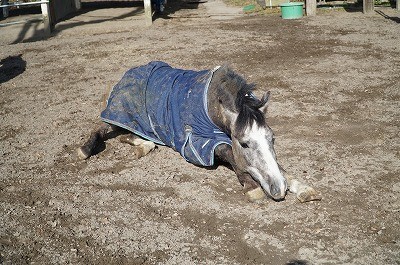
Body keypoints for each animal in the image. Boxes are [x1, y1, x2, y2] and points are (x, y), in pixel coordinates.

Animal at [79, 61, 322, 202]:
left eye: (272, 139)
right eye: (244, 143)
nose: (278, 188)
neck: (209, 104)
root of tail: (125, 75)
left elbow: (279, 166)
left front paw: (301, 187)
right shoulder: (195, 143)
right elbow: (228, 152)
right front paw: (251, 186)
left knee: (129, 135)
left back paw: (144, 145)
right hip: (119, 114)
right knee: (101, 129)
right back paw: (85, 149)